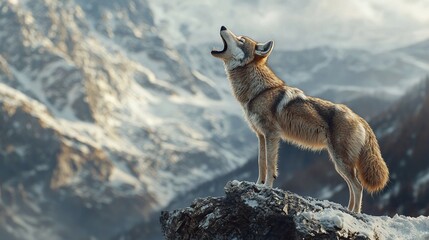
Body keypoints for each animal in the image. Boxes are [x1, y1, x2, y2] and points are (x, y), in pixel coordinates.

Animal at [211, 26, 388, 214]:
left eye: (241, 39)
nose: (222, 26)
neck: (259, 91)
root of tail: (360, 119)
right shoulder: (261, 136)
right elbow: (261, 163)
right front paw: (257, 185)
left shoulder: (272, 135)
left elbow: (270, 165)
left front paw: (266, 187)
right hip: (339, 164)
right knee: (353, 186)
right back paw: (348, 210)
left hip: (341, 162)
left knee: (358, 186)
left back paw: (353, 213)